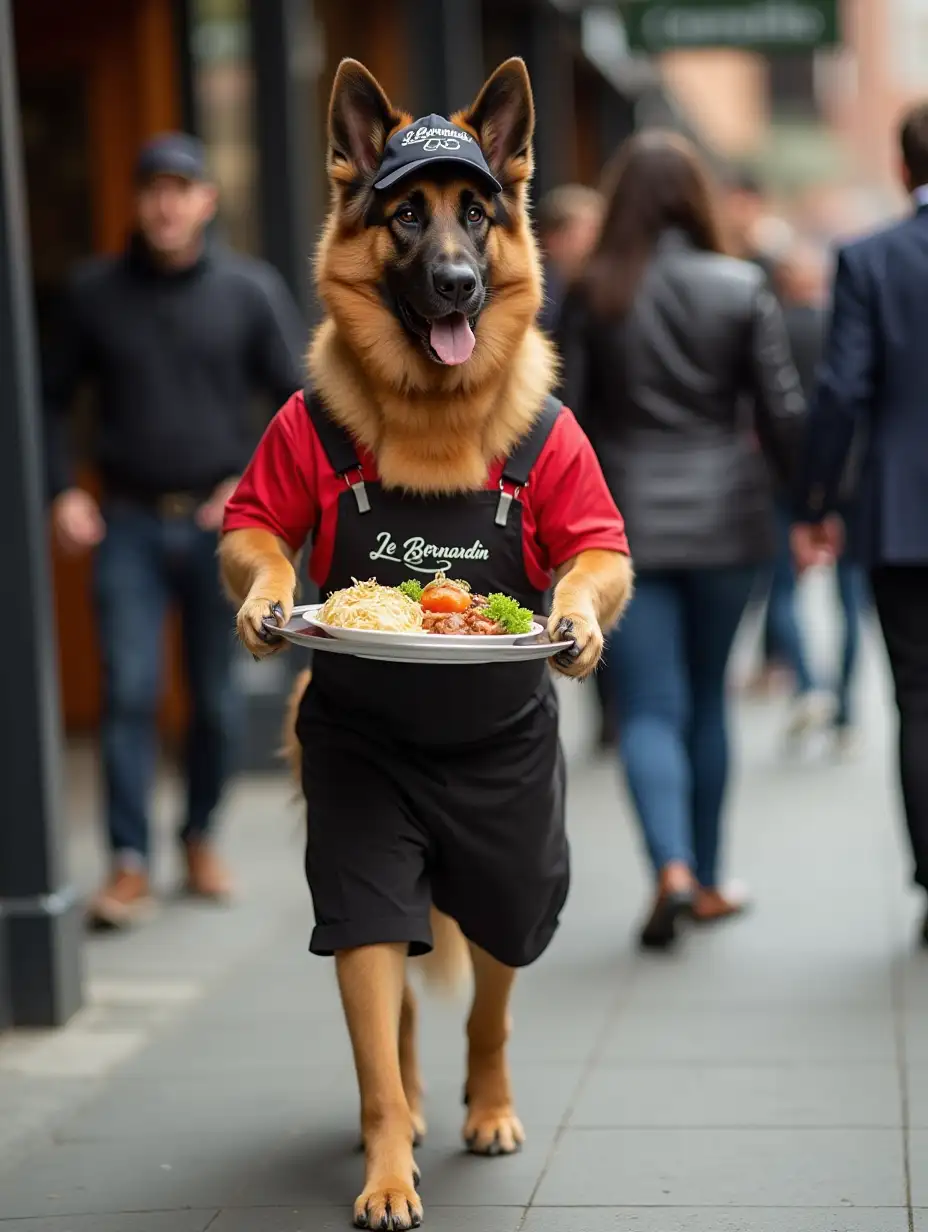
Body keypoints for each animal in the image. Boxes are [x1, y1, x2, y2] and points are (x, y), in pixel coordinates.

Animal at [220, 55, 635, 1222]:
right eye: (407, 214)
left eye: (475, 214)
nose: (453, 282)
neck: (435, 415)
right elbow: (258, 536)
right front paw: (386, 1168)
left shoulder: (581, 494)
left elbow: (591, 559)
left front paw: (573, 624)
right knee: (391, 985)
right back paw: (401, 1114)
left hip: (510, 861)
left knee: (495, 955)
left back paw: (482, 1104)